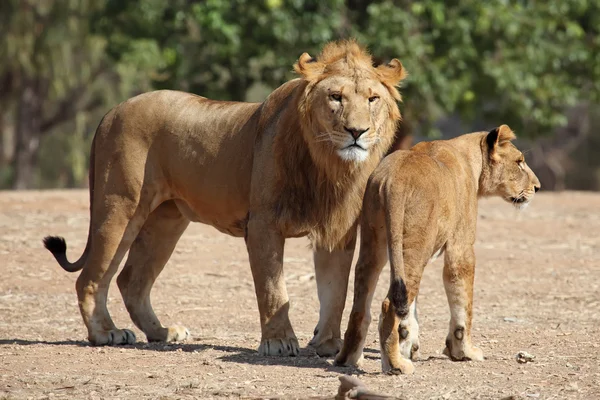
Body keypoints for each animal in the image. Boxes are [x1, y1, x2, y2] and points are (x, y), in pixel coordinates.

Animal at [43, 39, 408, 356]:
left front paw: (328, 344)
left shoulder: (337, 227)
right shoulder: (262, 224)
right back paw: (106, 332)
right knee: (91, 278)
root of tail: (111, 112)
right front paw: (278, 341)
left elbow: (335, 290)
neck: (328, 164)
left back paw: (162, 332)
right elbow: (273, 288)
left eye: (372, 99)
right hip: (120, 207)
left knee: (131, 279)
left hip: (166, 221)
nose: (357, 132)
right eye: (335, 97)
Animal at [336, 124, 540, 372]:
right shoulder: (461, 246)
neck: (471, 159)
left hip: (374, 243)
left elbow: (411, 309)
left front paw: (408, 343)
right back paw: (396, 365)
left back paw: (349, 359)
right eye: (519, 162)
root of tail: (393, 180)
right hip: (415, 245)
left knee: (361, 304)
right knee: (388, 305)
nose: (537, 187)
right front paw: (464, 351)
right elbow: (463, 303)